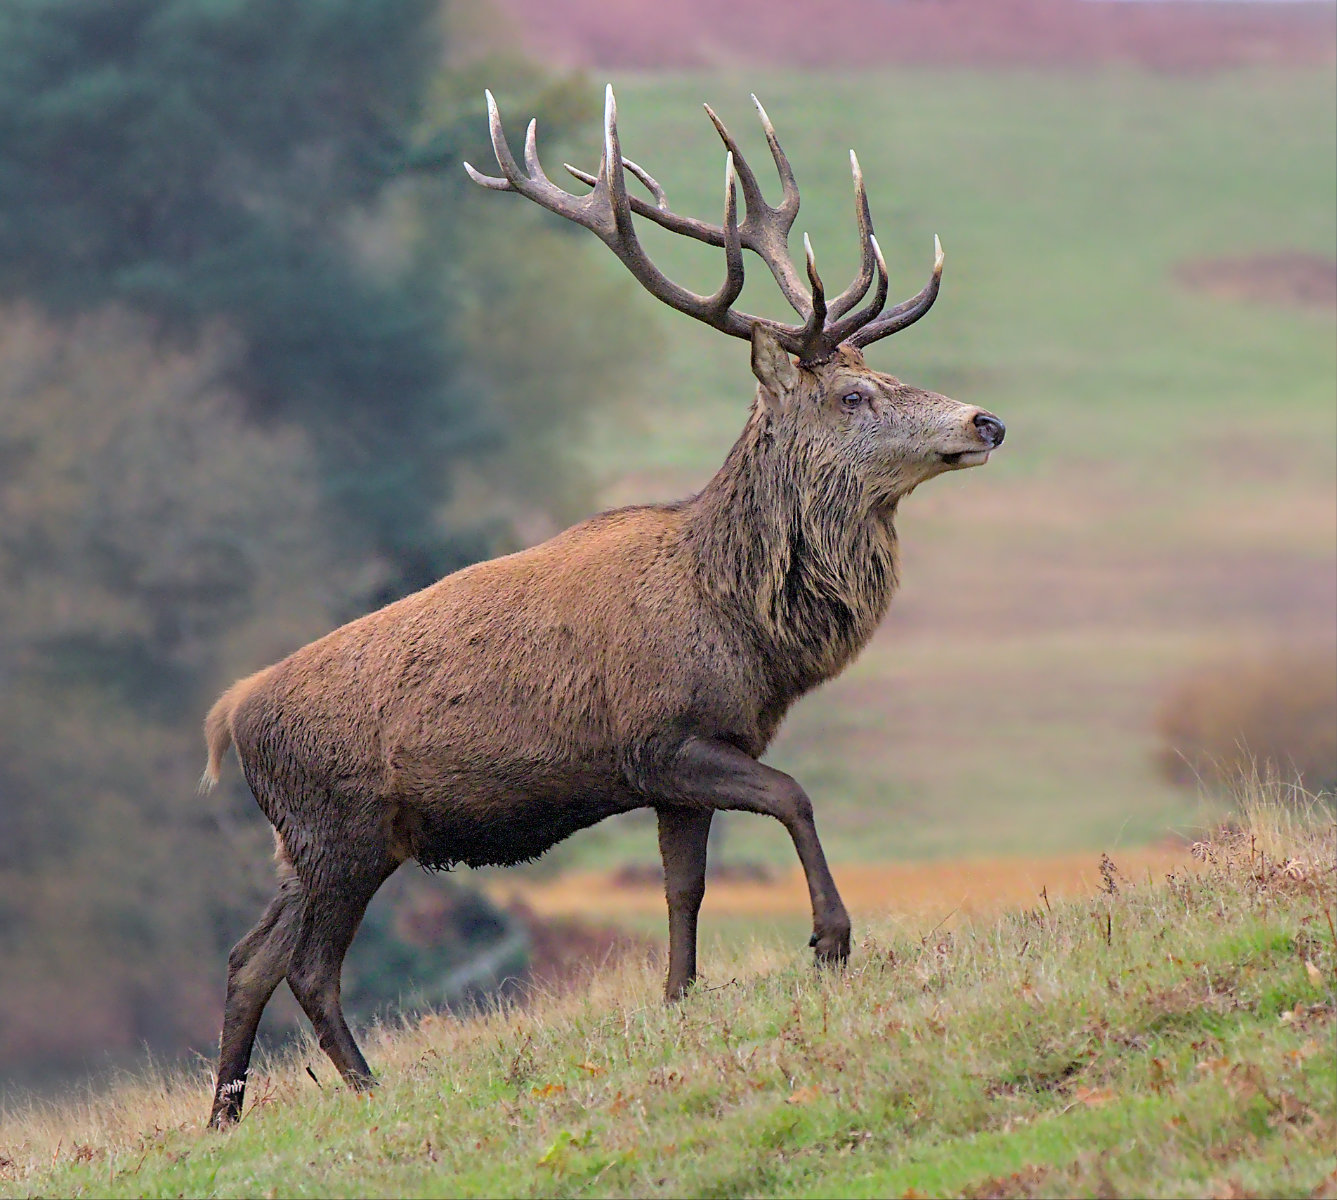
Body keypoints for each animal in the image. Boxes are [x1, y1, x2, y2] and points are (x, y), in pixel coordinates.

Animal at [200, 86, 1005, 1129]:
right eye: (855, 395)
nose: (984, 421)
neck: (742, 626)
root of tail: (230, 717)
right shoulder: (661, 737)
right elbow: (793, 795)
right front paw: (830, 941)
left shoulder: (686, 767)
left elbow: (683, 890)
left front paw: (677, 997)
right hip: (340, 830)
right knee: (307, 967)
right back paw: (367, 1089)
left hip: (306, 844)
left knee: (248, 957)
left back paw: (224, 1117)